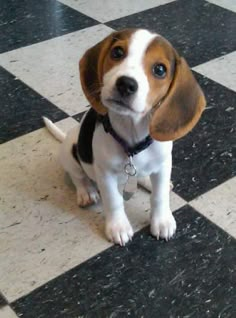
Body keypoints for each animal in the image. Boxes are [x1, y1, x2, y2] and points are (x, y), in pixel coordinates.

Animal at [43, 28, 206, 246]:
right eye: (117, 52)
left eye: (160, 70)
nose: (126, 84)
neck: (132, 135)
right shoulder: (106, 174)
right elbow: (113, 201)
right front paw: (118, 227)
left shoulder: (164, 164)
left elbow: (160, 196)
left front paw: (162, 220)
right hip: (69, 151)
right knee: (78, 176)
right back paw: (86, 192)